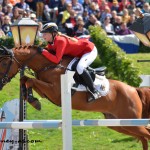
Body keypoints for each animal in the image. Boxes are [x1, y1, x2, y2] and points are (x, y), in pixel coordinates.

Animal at [0, 45, 150, 149]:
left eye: (4, 63)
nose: (1, 83)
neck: (48, 65)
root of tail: (134, 89)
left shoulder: (55, 92)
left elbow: (30, 80)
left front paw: (33, 100)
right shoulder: (46, 92)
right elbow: (25, 79)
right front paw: (30, 98)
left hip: (131, 121)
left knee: (146, 134)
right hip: (121, 124)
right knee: (143, 138)